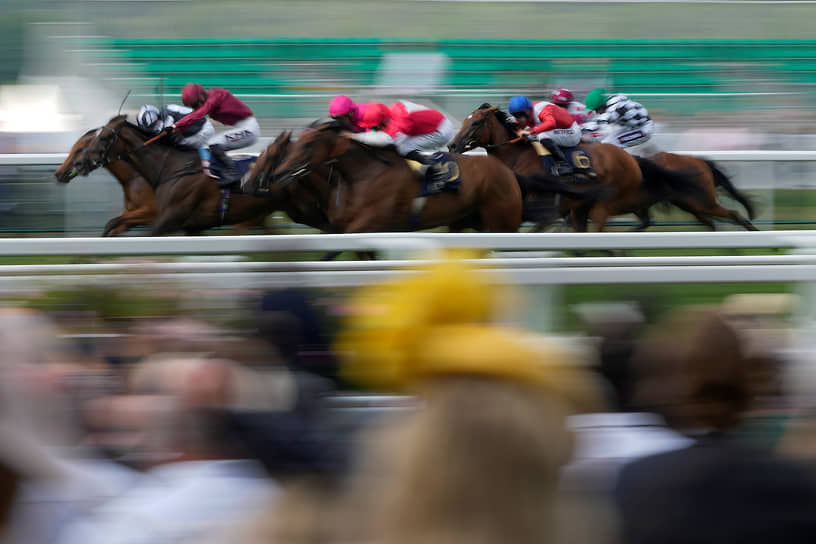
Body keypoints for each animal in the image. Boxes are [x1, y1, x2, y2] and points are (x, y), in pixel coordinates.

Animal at [77, 113, 280, 235]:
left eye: (103, 138)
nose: (81, 162)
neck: (171, 166)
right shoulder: (191, 225)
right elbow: (112, 224)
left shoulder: (162, 218)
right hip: (259, 216)